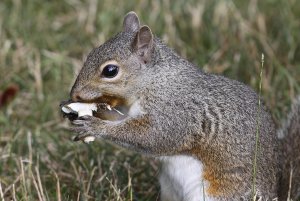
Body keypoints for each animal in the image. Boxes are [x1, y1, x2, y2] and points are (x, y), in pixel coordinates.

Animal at [61, 11, 300, 201]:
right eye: (91, 53)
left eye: (110, 71)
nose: (74, 94)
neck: (156, 81)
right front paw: (92, 112)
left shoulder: (176, 112)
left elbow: (153, 136)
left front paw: (96, 126)